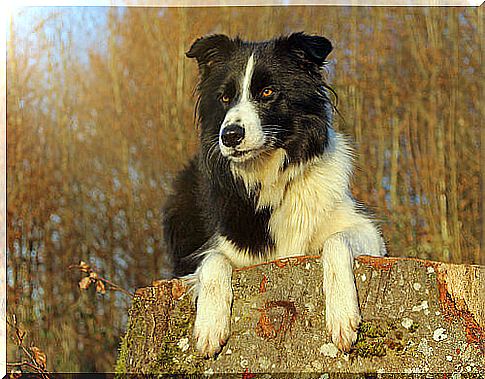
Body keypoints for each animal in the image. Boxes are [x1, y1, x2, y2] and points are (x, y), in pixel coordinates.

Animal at [163, 32, 386, 360]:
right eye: (225, 98)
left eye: (267, 92)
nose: (230, 136)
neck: (272, 175)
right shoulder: (220, 249)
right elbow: (214, 259)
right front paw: (209, 326)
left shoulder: (368, 232)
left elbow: (335, 241)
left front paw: (342, 315)